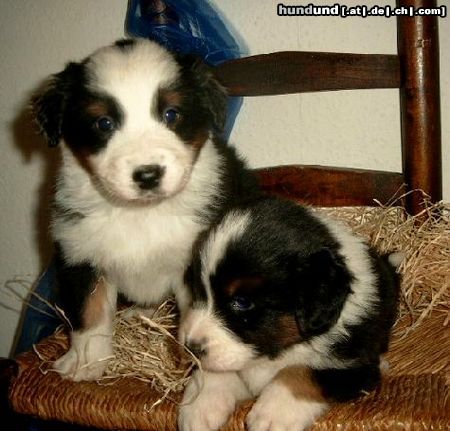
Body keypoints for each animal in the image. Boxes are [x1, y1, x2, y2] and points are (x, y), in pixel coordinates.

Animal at [32, 38, 260, 382]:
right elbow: (90, 315)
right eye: (104, 123)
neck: (139, 213)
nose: (148, 175)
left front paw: (198, 375)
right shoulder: (80, 253)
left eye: (171, 114)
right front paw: (85, 363)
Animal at [178, 198, 400, 431]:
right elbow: (217, 369)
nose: (191, 348)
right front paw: (199, 406)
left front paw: (272, 415)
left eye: (242, 302)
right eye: (198, 291)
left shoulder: (353, 369)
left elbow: (301, 371)